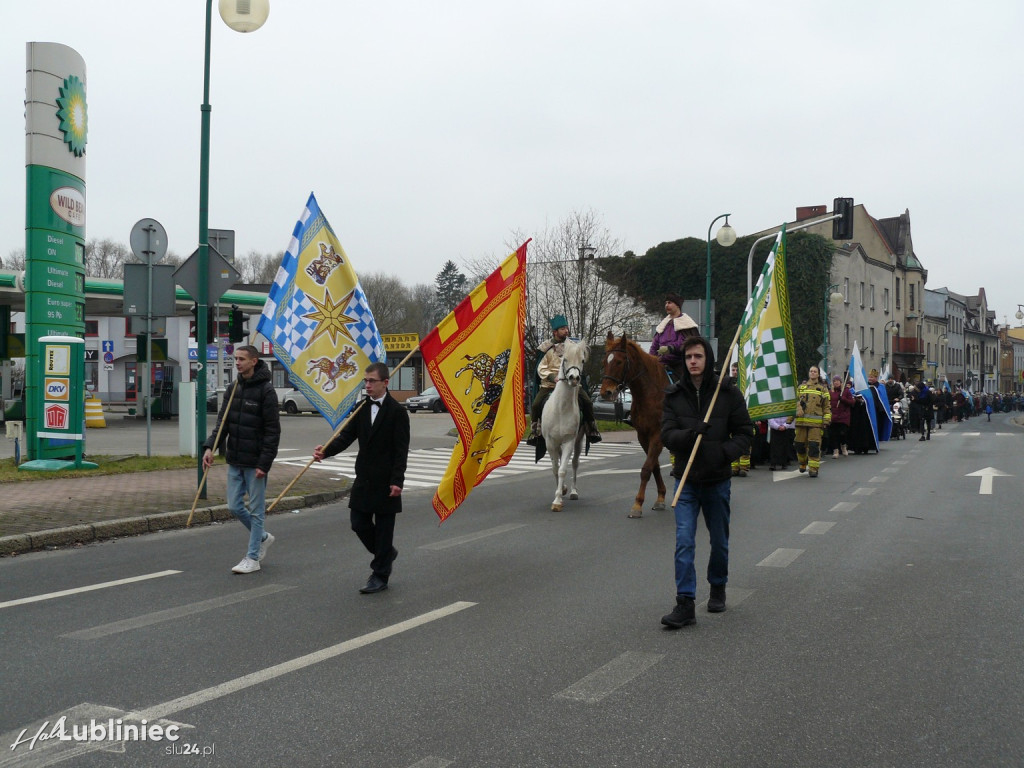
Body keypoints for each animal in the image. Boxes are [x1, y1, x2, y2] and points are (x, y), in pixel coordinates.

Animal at [540, 342, 589, 512]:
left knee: (574, 463)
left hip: (579, 440)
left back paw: (573, 491)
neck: (561, 409)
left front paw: (557, 501)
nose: (574, 378)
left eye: (582, 360)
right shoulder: (550, 442)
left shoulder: (569, 441)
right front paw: (560, 492)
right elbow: (555, 468)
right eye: (565, 359)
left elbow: (562, 470)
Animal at [598, 333, 671, 520]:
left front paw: (637, 505)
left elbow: (646, 469)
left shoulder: (657, 435)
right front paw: (660, 498)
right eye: (604, 361)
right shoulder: (643, 436)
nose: (606, 392)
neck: (650, 394)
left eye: (619, 361)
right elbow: (654, 466)